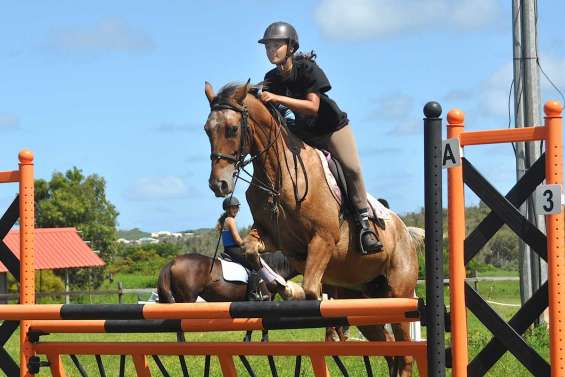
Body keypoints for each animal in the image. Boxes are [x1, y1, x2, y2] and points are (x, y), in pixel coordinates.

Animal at [205, 81, 420, 374]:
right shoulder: (274, 238)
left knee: (404, 353)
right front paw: (284, 287)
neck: (278, 173)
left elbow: (309, 288)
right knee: (388, 347)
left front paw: (296, 291)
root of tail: (406, 233)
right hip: (362, 298)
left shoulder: (323, 239)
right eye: (207, 129)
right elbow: (251, 250)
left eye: (232, 129)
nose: (219, 185)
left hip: (399, 294)